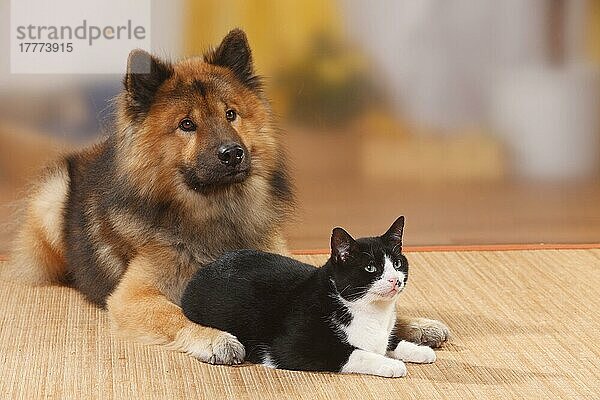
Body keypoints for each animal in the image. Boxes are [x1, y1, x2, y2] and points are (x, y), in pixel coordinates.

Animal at [180, 217, 434, 376]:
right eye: (371, 268)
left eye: (397, 263)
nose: (395, 280)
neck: (370, 311)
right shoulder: (289, 348)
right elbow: (353, 353)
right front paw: (392, 364)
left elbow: (389, 341)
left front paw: (419, 350)